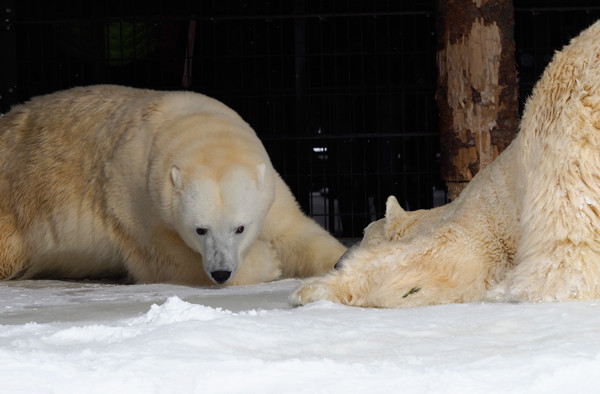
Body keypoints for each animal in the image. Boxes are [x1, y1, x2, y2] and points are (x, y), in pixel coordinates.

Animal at [0, 84, 346, 284]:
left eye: (240, 228)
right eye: (200, 229)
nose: (221, 272)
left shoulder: (269, 186)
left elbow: (292, 229)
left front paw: (342, 259)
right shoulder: (133, 194)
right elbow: (166, 258)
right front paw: (269, 261)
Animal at [296, 20, 600, 308]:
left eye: (364, 232)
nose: (337, 261)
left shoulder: (483, 223)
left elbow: (430, 261)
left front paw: (312, 289)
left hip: (569, 116)